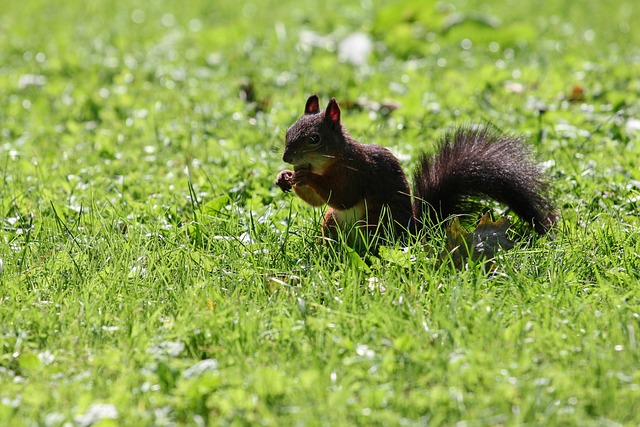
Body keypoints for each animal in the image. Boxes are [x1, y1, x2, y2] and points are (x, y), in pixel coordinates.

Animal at [276, 95, 556, 246]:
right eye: (288, 131)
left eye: (314, 139)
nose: (287, 158)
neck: (330, 162)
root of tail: (414, 233)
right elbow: (316, 201)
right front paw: (284, 177)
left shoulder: (358, 173)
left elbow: (343, 196)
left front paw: (305, 177)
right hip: (332, 221)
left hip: (376, 221)